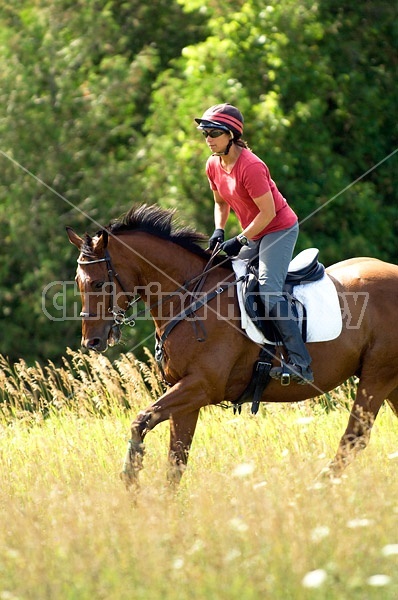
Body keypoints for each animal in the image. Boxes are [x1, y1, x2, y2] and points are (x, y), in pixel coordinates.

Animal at [67, 205, 398, 488]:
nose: (91, 341)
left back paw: (317, 488)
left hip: (377, 376)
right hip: (390, 382)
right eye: (78, 282)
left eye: (98, 284)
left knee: (354, 437)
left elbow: (141, 421)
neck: (189, 298)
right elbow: (176, 459)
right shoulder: (186, 394)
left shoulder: (201, 386)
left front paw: (131, 481)